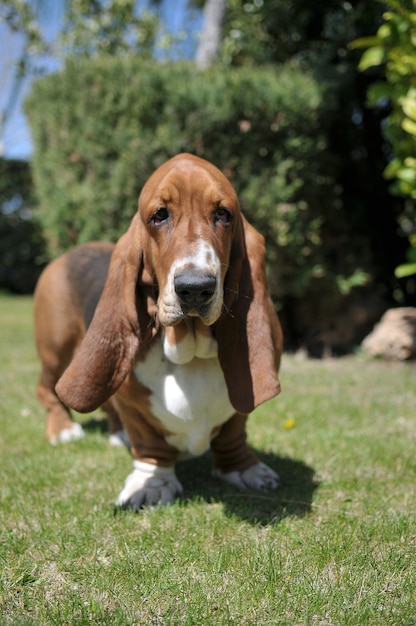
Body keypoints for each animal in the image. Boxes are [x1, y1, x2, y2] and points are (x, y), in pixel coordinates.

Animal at [35, 152, 282, 508]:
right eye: (159, 216)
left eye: (223, 214)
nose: (195, 287)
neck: (189, 352)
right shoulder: (133, 406)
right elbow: (149, 443)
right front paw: (152, 483)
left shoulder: (238, 409)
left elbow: (235, 432)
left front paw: (244, 468)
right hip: (57, 349)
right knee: (47, 389)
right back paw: (63, 430)